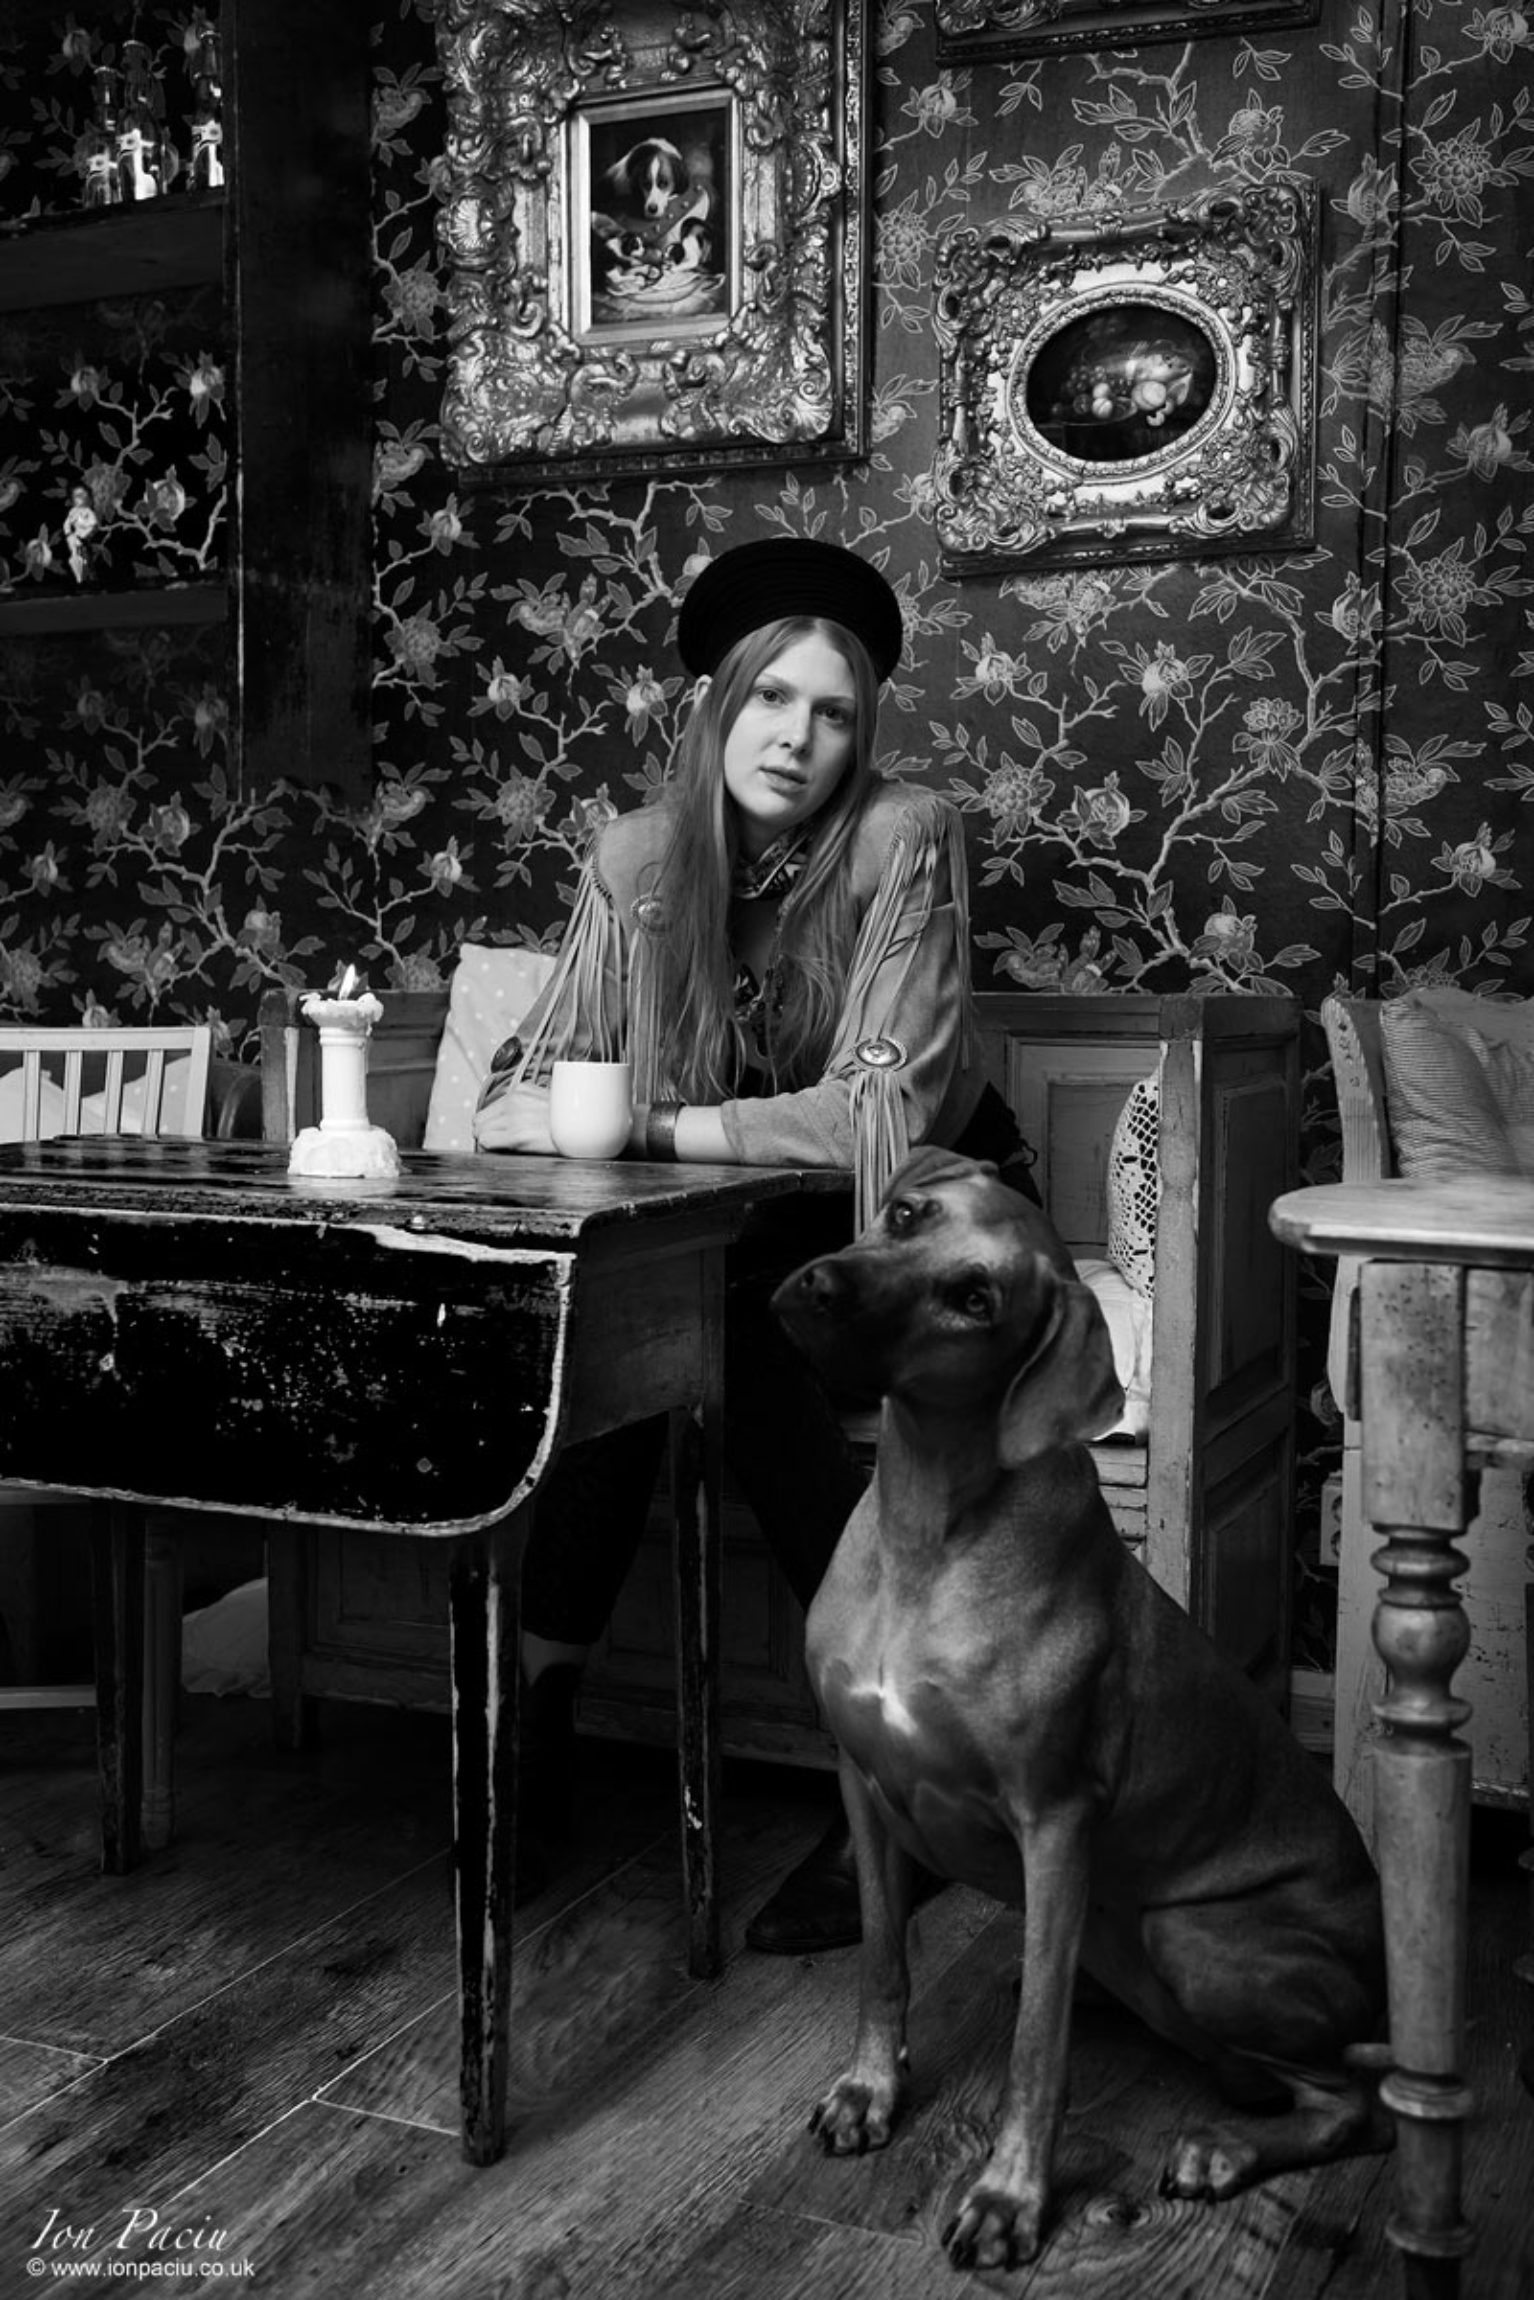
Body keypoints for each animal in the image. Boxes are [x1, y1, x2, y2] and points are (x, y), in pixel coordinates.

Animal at [772, 1159, 1389, 2272]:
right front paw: (870, 2088)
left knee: (1349, 2104)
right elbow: (882, 1957)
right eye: (905, 1214)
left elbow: (1034, 2048)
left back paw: (1224, 2152)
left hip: (1193, 1938)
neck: (929, 1526)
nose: (820, 1284)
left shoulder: (1055, 1827)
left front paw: (1011, 2195)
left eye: (974, 1298)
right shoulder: (861, 1783)